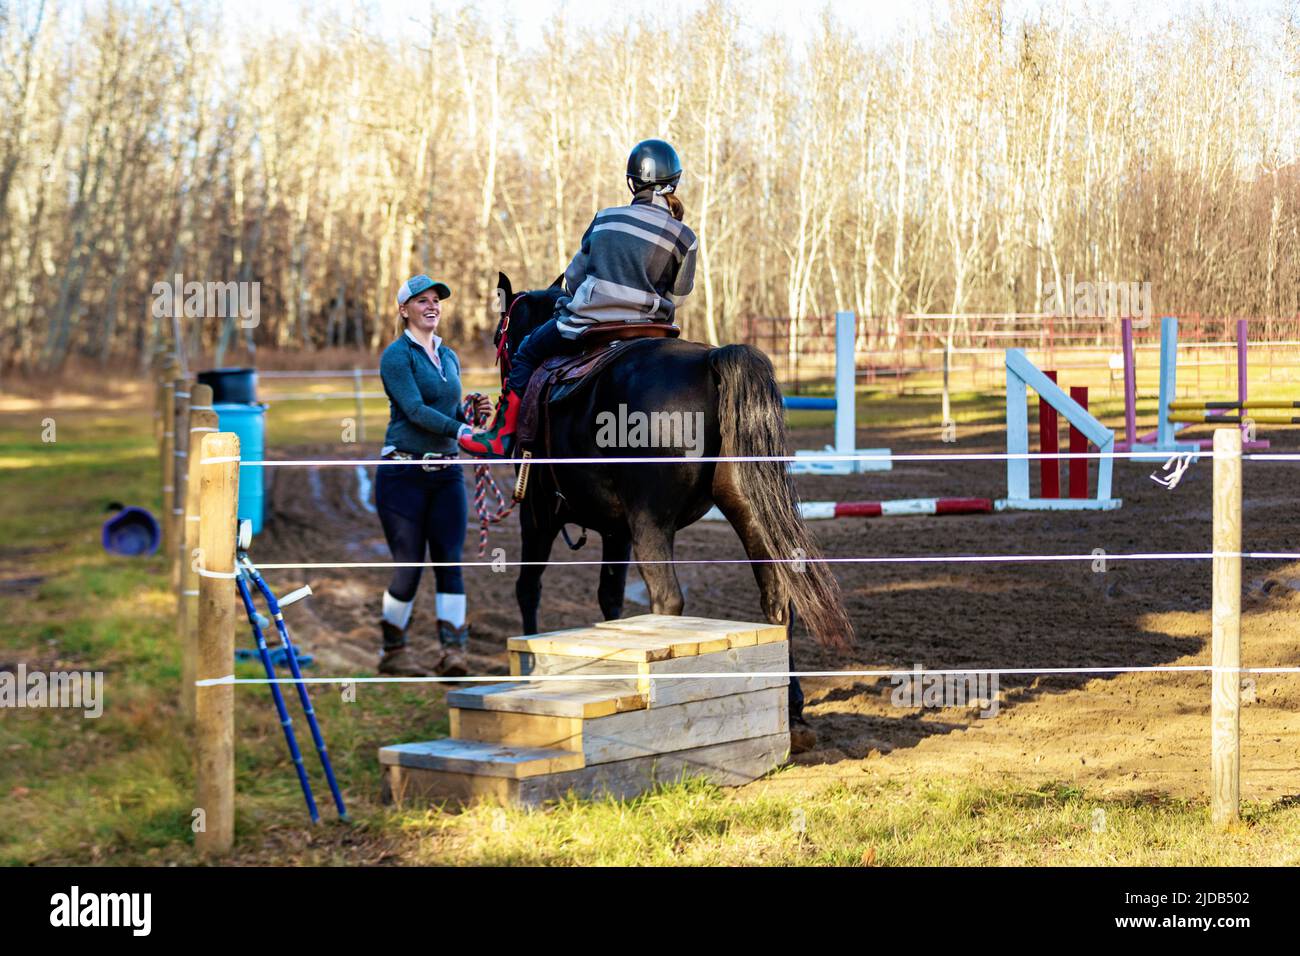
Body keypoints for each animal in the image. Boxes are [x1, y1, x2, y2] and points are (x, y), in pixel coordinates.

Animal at [488, 273, 852, 671]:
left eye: (499, 337)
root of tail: (710, 360)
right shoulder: (617, 532)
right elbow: (610, 597)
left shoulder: (536, 515)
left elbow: (528, 589)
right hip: (748, 512)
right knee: (777, 599)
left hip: (651, 523)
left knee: (667, 600)